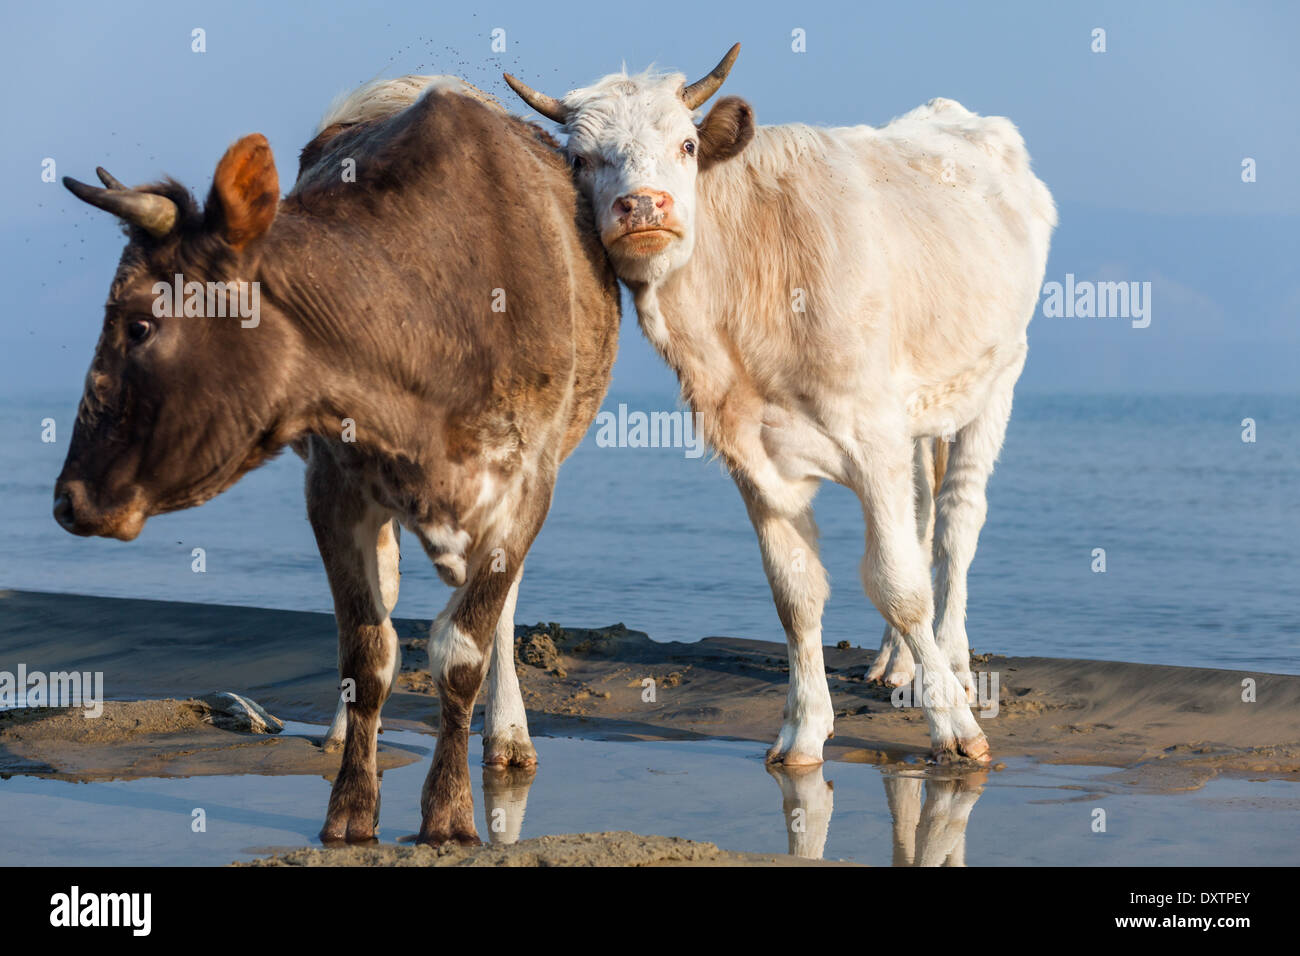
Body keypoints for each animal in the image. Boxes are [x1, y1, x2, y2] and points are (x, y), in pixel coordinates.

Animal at [61, 76, 624, 842]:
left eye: (140, 325)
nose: (68, 498)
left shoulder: (526, 485)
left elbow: (464, 650)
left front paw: (450, 813)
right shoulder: (333, 486)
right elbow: (367, 650)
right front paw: (351, 808)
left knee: (497, 614)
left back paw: (508, 739)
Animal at [506, 44, 1055, 764]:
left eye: (686, 144)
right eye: (579, 159)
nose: (643, 205)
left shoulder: (871, 435)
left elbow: (899, 584)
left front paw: (955, 727)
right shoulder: (753, 453)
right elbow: (797, 593)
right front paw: (804, 730)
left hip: (999, 376)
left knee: (957, 523)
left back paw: (956, 664)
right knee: (922, 516)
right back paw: (898, 665)